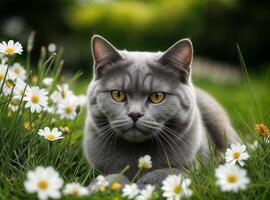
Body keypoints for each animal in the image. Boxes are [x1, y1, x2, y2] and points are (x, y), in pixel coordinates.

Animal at [83, 35, 239, 187]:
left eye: (157, 96)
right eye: (118, 95)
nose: (135, 114)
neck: (138, 152)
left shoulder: (195, 169)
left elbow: (173, 172)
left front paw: (146, 182)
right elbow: (110, 176)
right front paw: (104, 185)